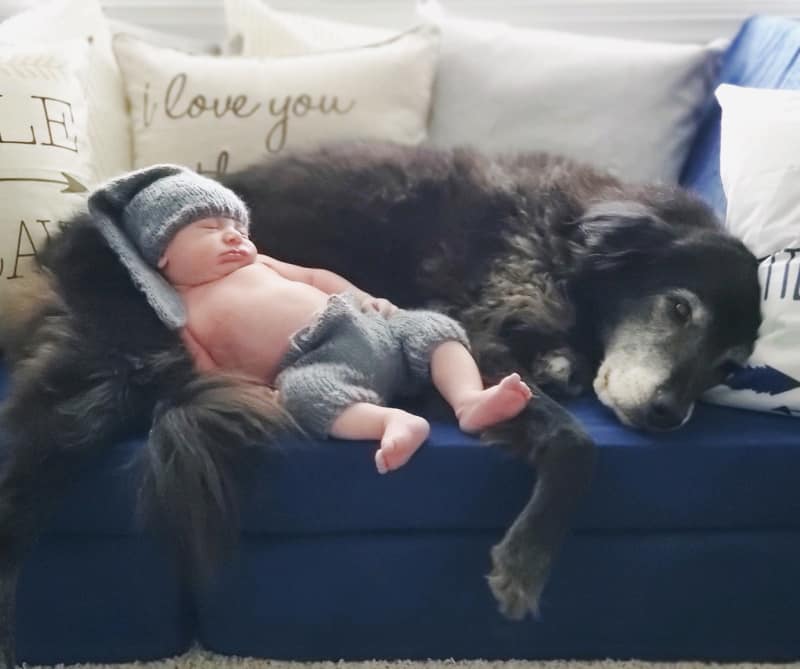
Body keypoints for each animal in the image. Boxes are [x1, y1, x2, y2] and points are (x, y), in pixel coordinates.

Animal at [0, 140, 764, 664]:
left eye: (729, 366)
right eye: (678, 307)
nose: (669, 415)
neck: (565, 241)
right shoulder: (485, 341)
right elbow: (576, 444)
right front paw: (526, 561)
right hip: (115, 370)